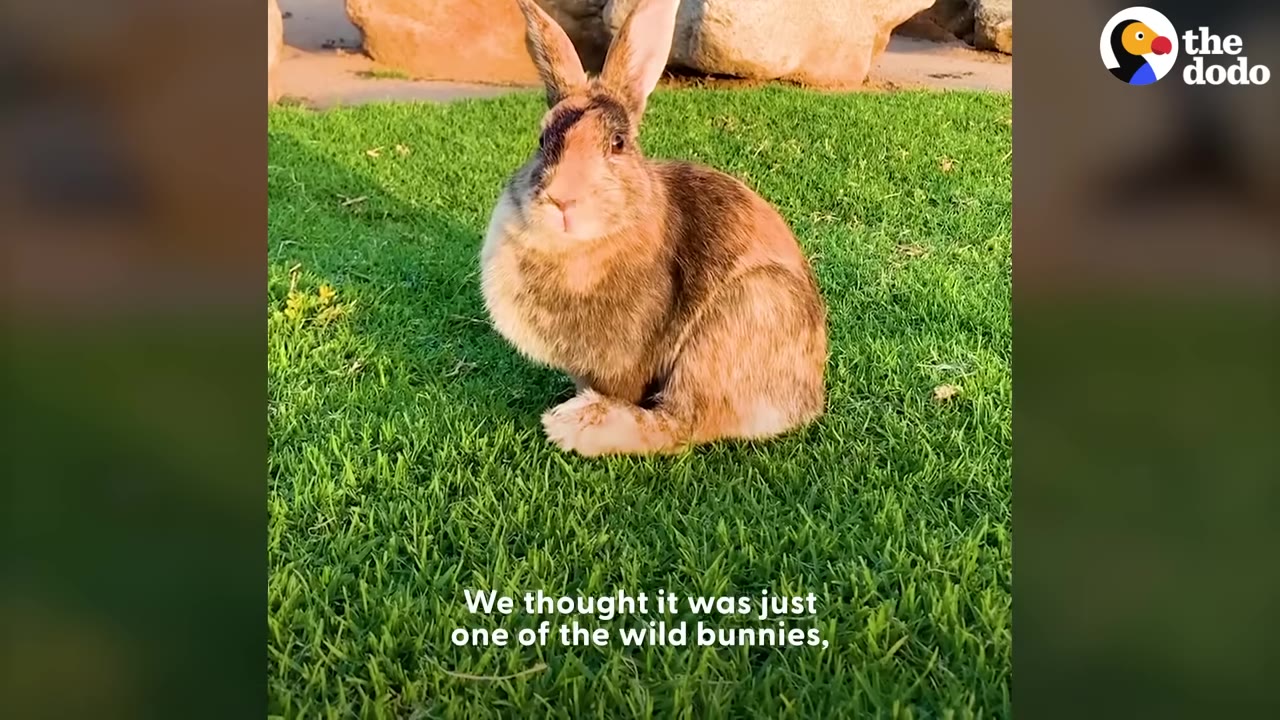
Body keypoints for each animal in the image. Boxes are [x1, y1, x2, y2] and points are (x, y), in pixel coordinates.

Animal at [481, 0, 827, 457]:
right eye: (542, 141)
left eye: (618, 143)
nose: (563, 201)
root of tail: (808, 399)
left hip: (733, 322)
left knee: (681, 424)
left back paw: (575, 426)